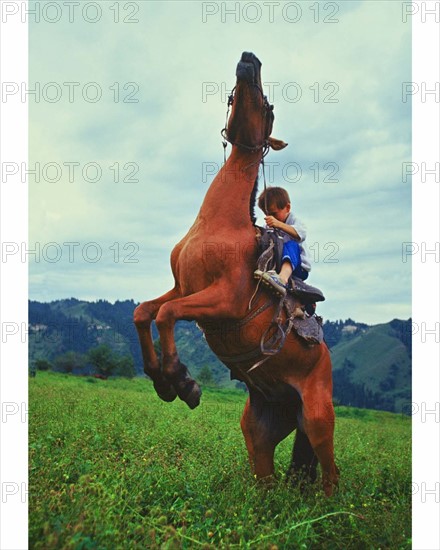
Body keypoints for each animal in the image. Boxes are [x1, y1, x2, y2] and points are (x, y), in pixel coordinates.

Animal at [135, 52, 340, 500]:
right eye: (236, 93)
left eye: (266, 104)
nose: (249, 59)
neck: (218, 224)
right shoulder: (183, 287)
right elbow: (145, 312)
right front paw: (161, 381)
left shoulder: (223, 300)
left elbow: (167, 315)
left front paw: (182, 382)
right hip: (260, 428)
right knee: (266, 478)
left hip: (318, 419)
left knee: (331, 475)